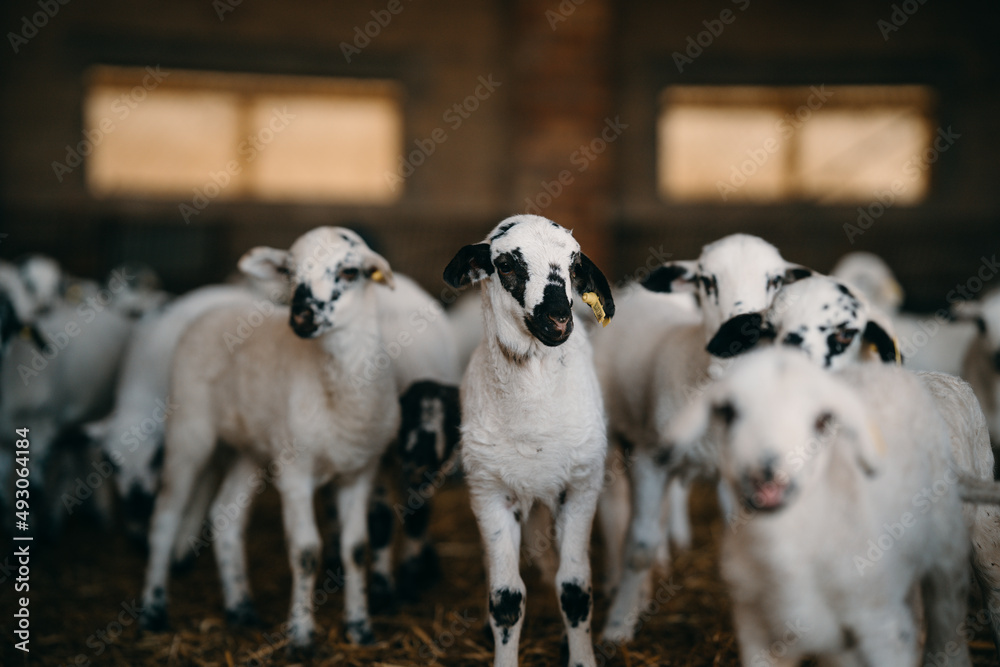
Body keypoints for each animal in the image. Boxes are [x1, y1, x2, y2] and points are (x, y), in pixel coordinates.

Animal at [139, 227, 400, 651]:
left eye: (349, 272)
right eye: (289, 272)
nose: (302, 316)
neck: (338, 395)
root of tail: (215, 309)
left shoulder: (359, 471)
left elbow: (357, 550)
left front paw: (360, 628)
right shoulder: (295, 472)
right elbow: (307, 551)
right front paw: (302, 635)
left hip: (251, 449)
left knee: (224, 514)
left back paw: (240, 608)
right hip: (189, 429)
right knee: (164, 516)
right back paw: (152, 610)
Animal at [443, 214, 615, 667]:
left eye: (574, 265)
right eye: (505, 265)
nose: (558, 318)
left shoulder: (580, 487)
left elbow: (575, 589)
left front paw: (581, 658)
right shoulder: (490, 493)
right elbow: (506, 598)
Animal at [593, 233, 811, 643]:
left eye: (775, 281)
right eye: (708, 281)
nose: (744, 330)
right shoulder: (648, 459)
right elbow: (639, 547)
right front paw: (617, 626)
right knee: (615, 511)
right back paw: (618, 585)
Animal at [662, 348, 976, 667]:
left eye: (822, 419)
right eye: (728, 411)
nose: (768, 477)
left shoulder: (879, 624)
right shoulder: (755, 629)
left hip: (946, 545)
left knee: (947, 614)